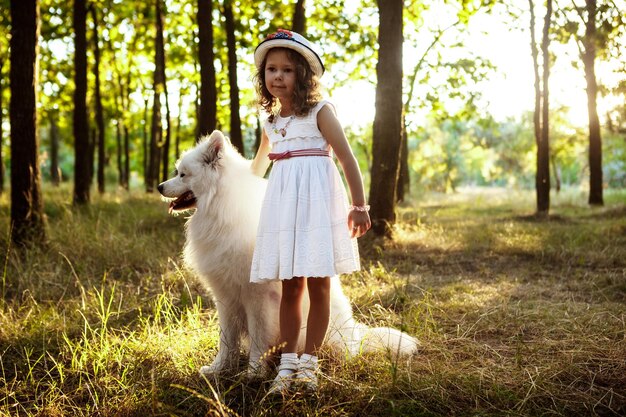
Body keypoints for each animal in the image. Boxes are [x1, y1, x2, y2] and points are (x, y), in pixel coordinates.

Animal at [158, 131, 416, 376]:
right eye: (177, 171)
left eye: (183, 175)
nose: (160, 187)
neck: (221, 207)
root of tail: (355, 336)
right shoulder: (225, 296)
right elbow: (226, 340)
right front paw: (218, 370)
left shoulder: (257, 299)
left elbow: (258, 337)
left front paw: (253, 372)